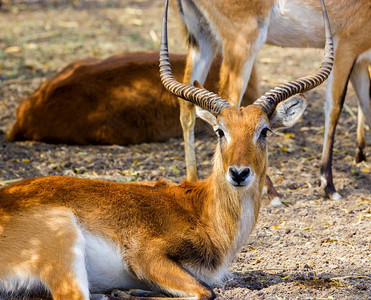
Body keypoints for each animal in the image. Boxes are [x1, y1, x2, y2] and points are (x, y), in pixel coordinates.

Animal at [174, 0, 371, 202]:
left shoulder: (360, 60)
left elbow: (366, 105)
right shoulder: (346, 47)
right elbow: (334, 108)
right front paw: (329, 185)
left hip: (203, 40)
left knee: (187, 104)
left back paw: (193, 181)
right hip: (243, 42)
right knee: (228, 99)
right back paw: (270, 191)